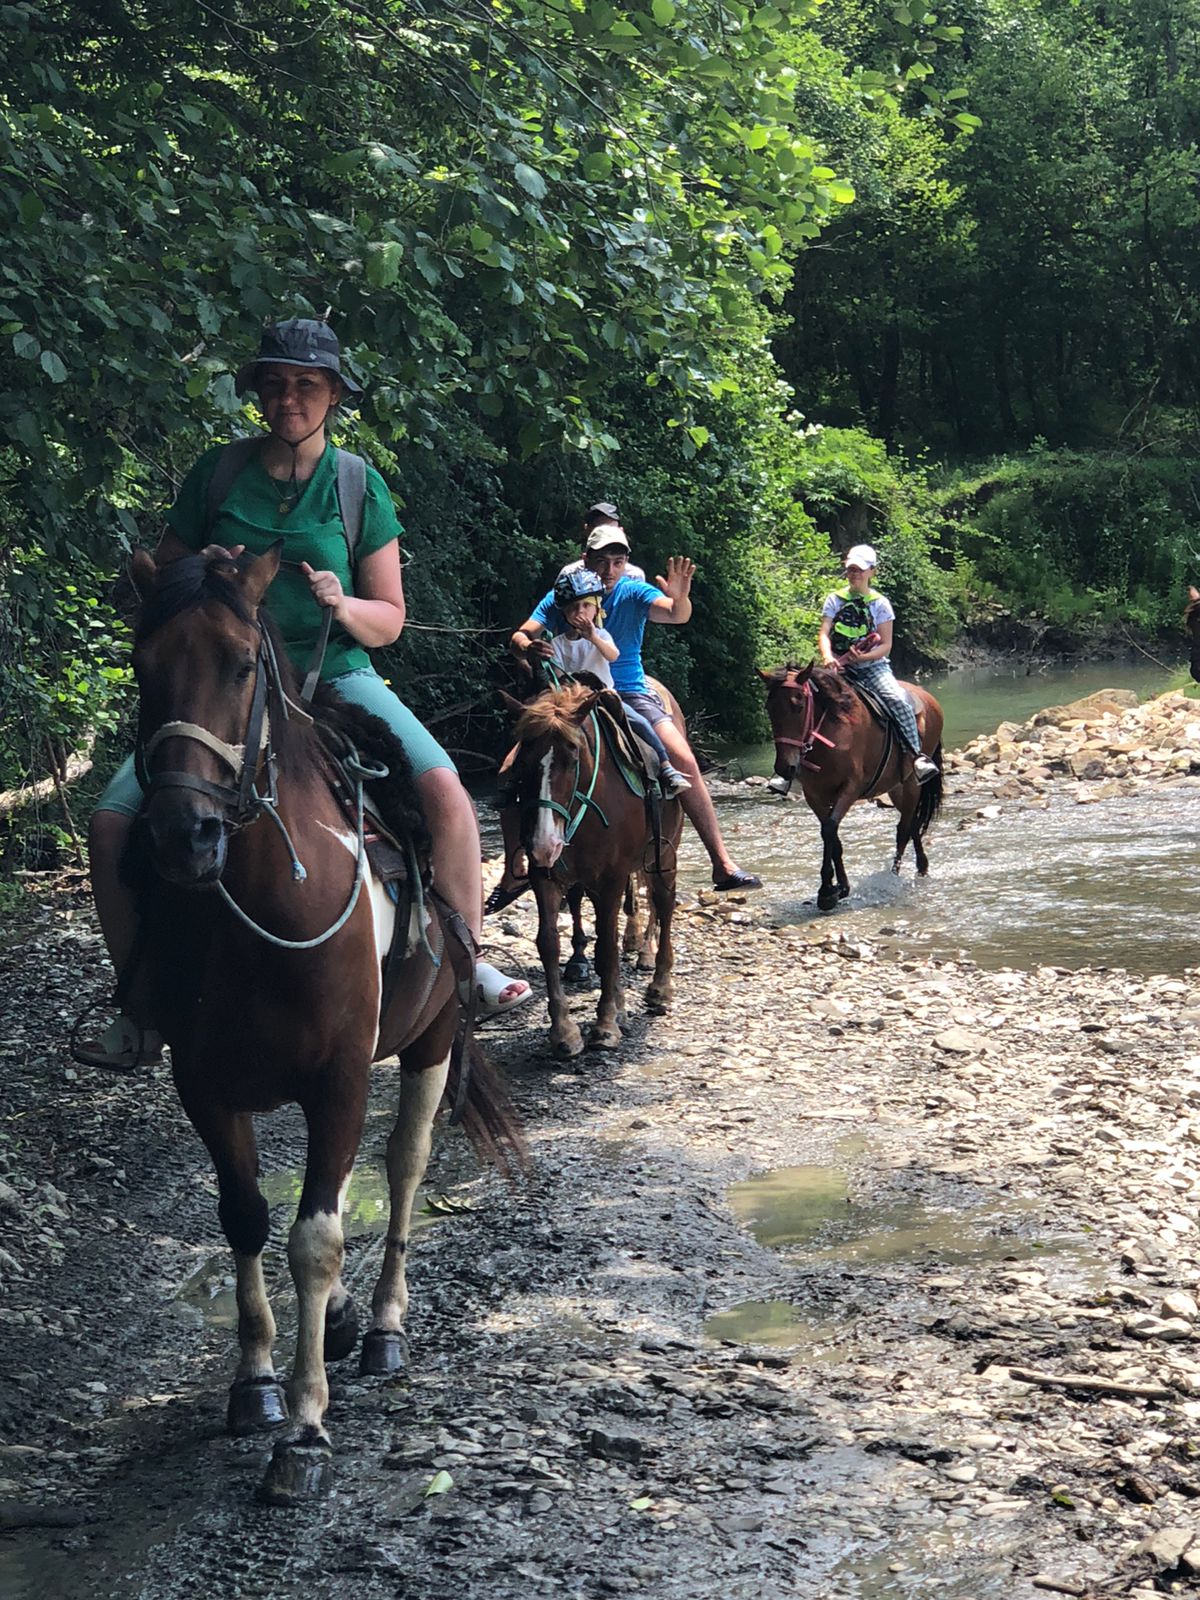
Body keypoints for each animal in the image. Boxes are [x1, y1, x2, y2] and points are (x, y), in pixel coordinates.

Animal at [122, 547, 521, 1497]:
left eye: (240, 664)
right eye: (142, 669)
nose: (183, 834)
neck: (264, 906)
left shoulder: (337, 1080)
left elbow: (316, 1239)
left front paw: (304, 1429)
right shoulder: (204, 1083)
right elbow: (246, 1218)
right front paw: (256, 1387)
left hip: (431, 1041)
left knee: (405, 1166)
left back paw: (380, 1331)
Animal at [499, 681, 681, 1056]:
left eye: (572, 761)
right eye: (522, 764)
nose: (544, 843)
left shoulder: (611, 878)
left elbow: (607, 948)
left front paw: (606, 1024)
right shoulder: (546, 876)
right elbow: (549, 943)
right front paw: (564, 1031)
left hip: (661, 859)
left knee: (664, 906)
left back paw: (659, 988)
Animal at [761, 662, 947, 915]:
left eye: (798, 705)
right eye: (769, 708)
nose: (785, 767)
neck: (831, 730)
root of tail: (929, 698)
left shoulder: (850, 789)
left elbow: (829, 829)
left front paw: (827, 892)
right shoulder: (814, 795)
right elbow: (832, 835)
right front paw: (839, 888)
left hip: (911, 784)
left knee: (903, 829)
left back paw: (892, 877)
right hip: (897, 787)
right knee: (913, 824)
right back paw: (921, 868)